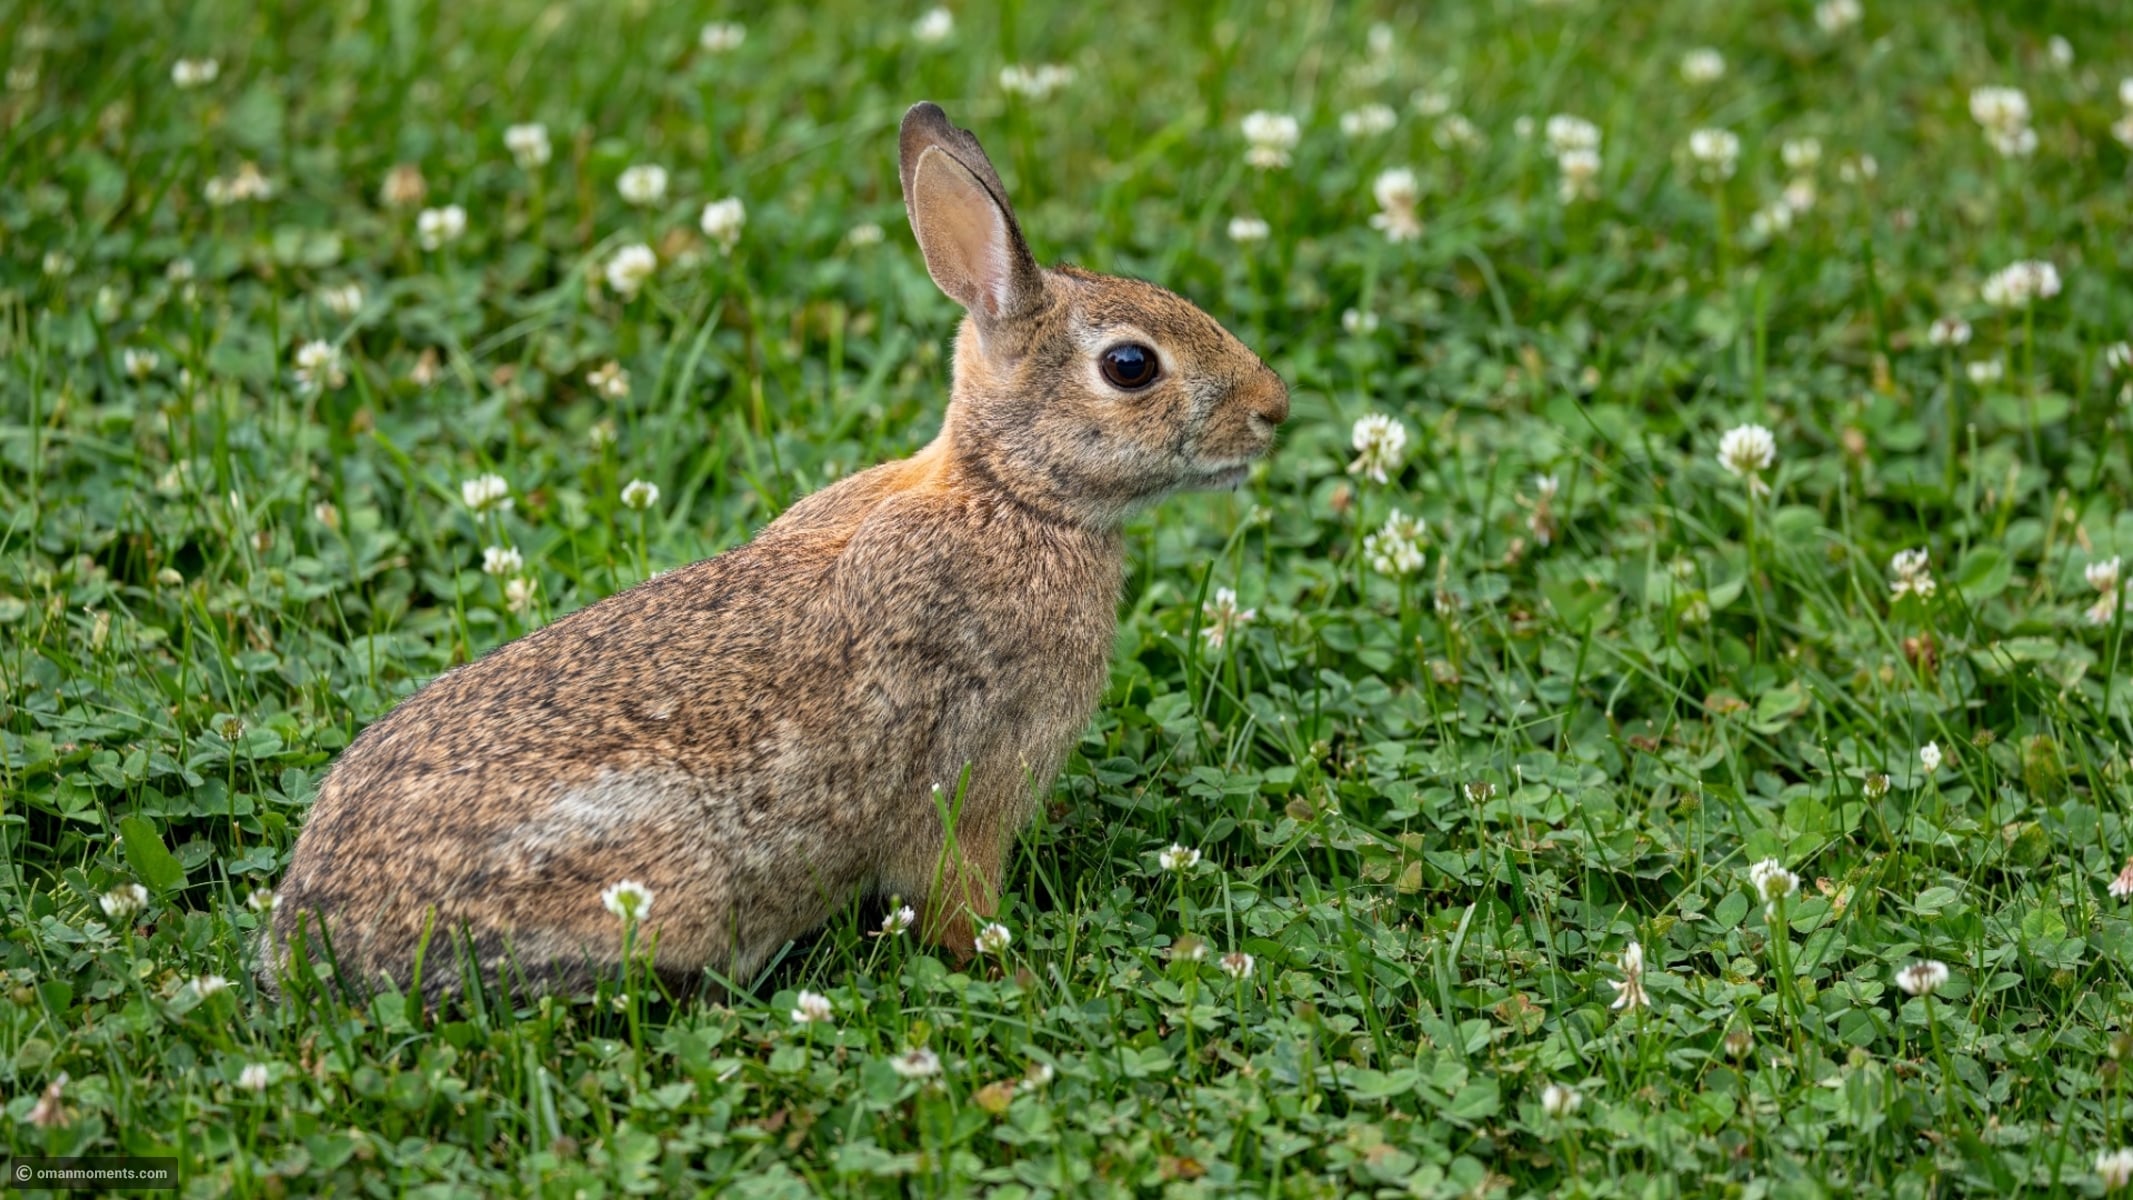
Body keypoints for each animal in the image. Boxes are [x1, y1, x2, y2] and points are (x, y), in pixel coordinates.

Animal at [262, 101, 1289, 1001]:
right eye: (1130, 366)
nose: (1274, 410)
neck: (1009, 494)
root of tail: (313, 945)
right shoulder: (969, 787)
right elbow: (954, 902)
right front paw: (1012, 971)